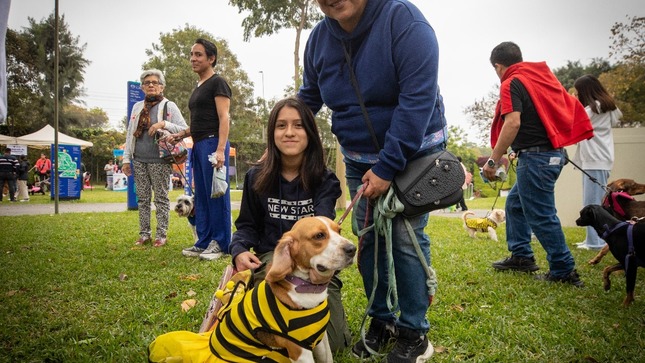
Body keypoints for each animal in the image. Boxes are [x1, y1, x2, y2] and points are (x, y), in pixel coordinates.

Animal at [148, 218, 354, 362]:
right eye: (319, 236)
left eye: (339, 230)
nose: (353, 248)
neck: (305, 288)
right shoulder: (299, 350)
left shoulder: (320, 340)